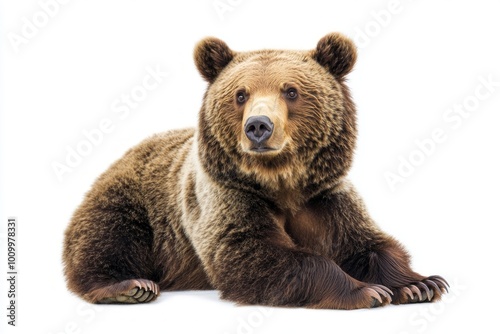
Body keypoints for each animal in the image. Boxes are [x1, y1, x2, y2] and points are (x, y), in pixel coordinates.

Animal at [62, 32, 450, 310]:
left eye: (291, 91)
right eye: (240, 94)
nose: (258, 126)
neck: (282, 182)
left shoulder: (325, 197)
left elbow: (367, 242)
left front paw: (420, 283)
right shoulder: (227, 196)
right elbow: (254, 253)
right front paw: (366, 291)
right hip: (134, 200)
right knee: (108, 236)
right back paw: (128, 286)